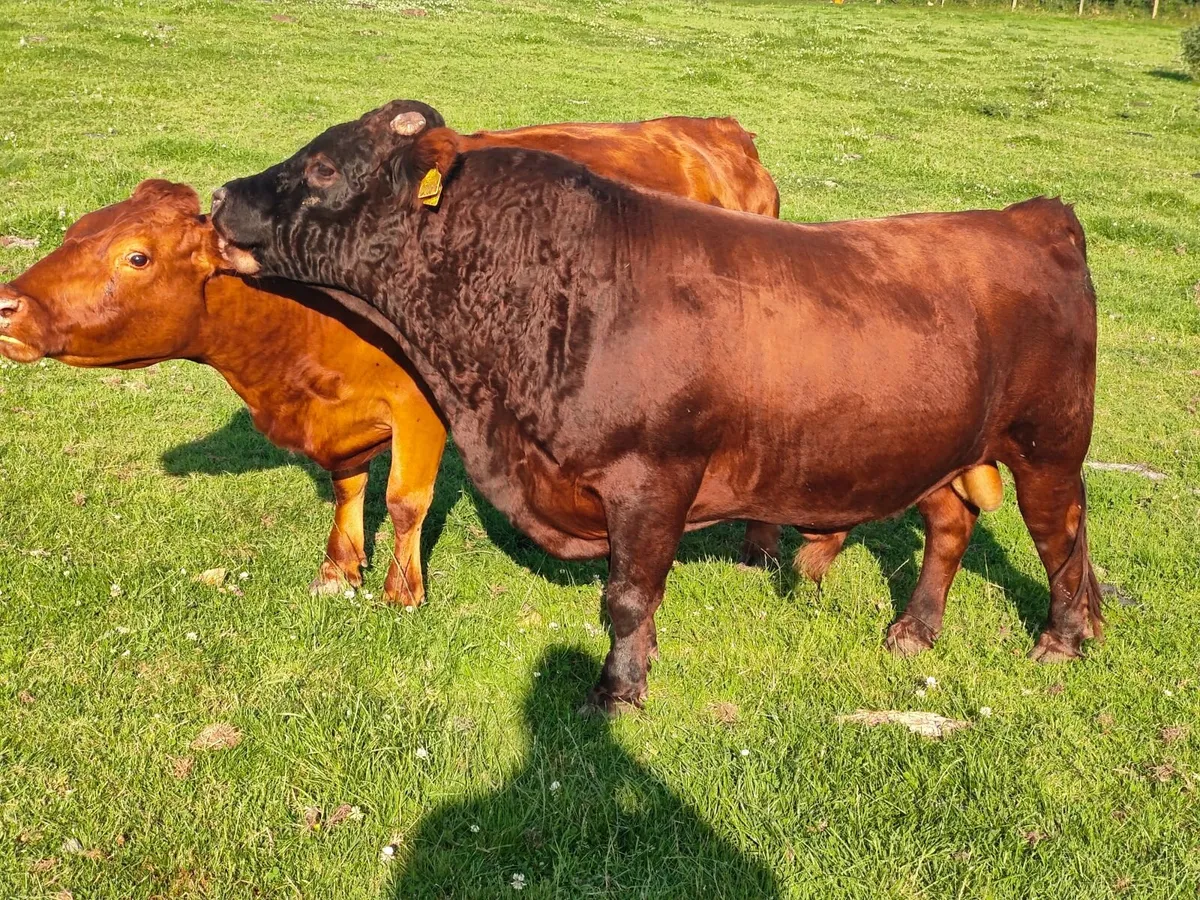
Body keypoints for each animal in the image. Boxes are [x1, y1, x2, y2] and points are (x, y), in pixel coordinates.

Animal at [0, 115, 795, 605]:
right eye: (76, 230)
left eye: (136, 257)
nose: (10, 304)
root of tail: (715, 130)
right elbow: (349, 486)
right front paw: (337, 568)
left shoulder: (420, 407)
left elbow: (406, 500)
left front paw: (400, 590)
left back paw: (759, 550)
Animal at [210, 99, 1103, 711]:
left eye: (326, 168)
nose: (219, 197)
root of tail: (1033, 217)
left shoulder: (653, 478)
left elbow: (628, 596)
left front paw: (617, 690)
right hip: (941, 449)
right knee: (951, 523)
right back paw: (914, 630)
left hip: (1049, 446)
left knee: (1063, 537)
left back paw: (1062, 639)